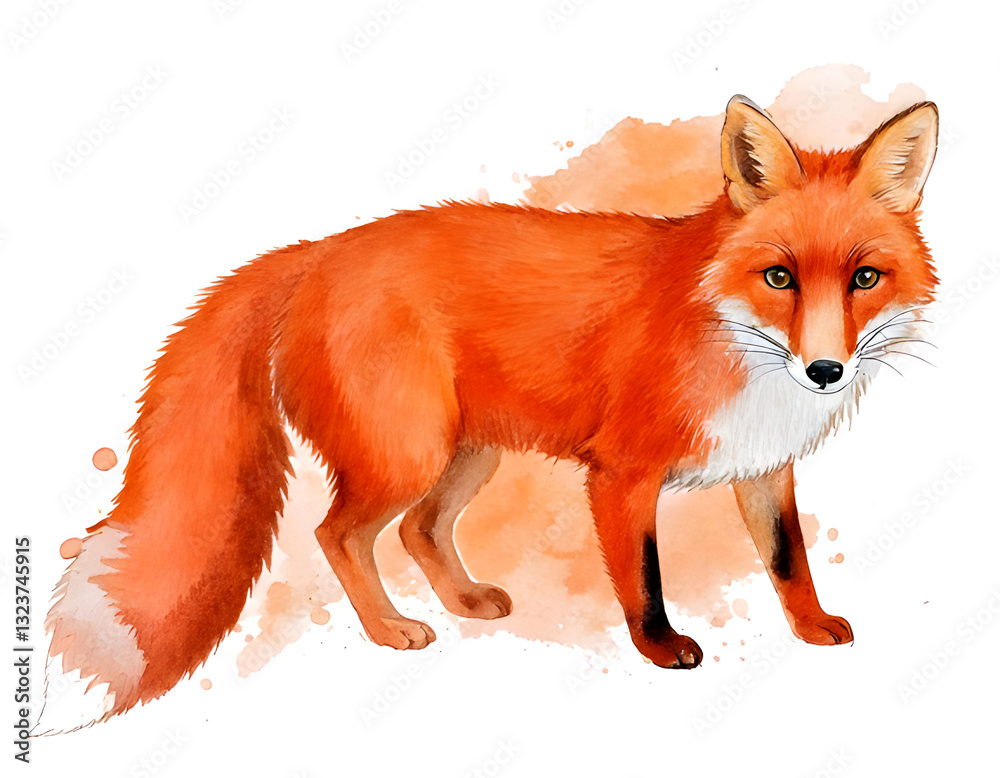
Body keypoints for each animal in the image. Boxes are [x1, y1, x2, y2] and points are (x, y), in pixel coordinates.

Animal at [41, 94, 938, 732]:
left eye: (864, 278)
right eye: (780, 276)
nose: (825, 370)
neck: (731, 334)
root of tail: (320, 251)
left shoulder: (762, 466)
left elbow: (788, 561)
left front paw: (812, 627)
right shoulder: (621, 471)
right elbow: (643, 580)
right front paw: (660, 651)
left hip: (467, 455)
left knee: (417, 530)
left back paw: (465, 602)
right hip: (408, 455)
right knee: (340, 535)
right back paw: (391, 630)